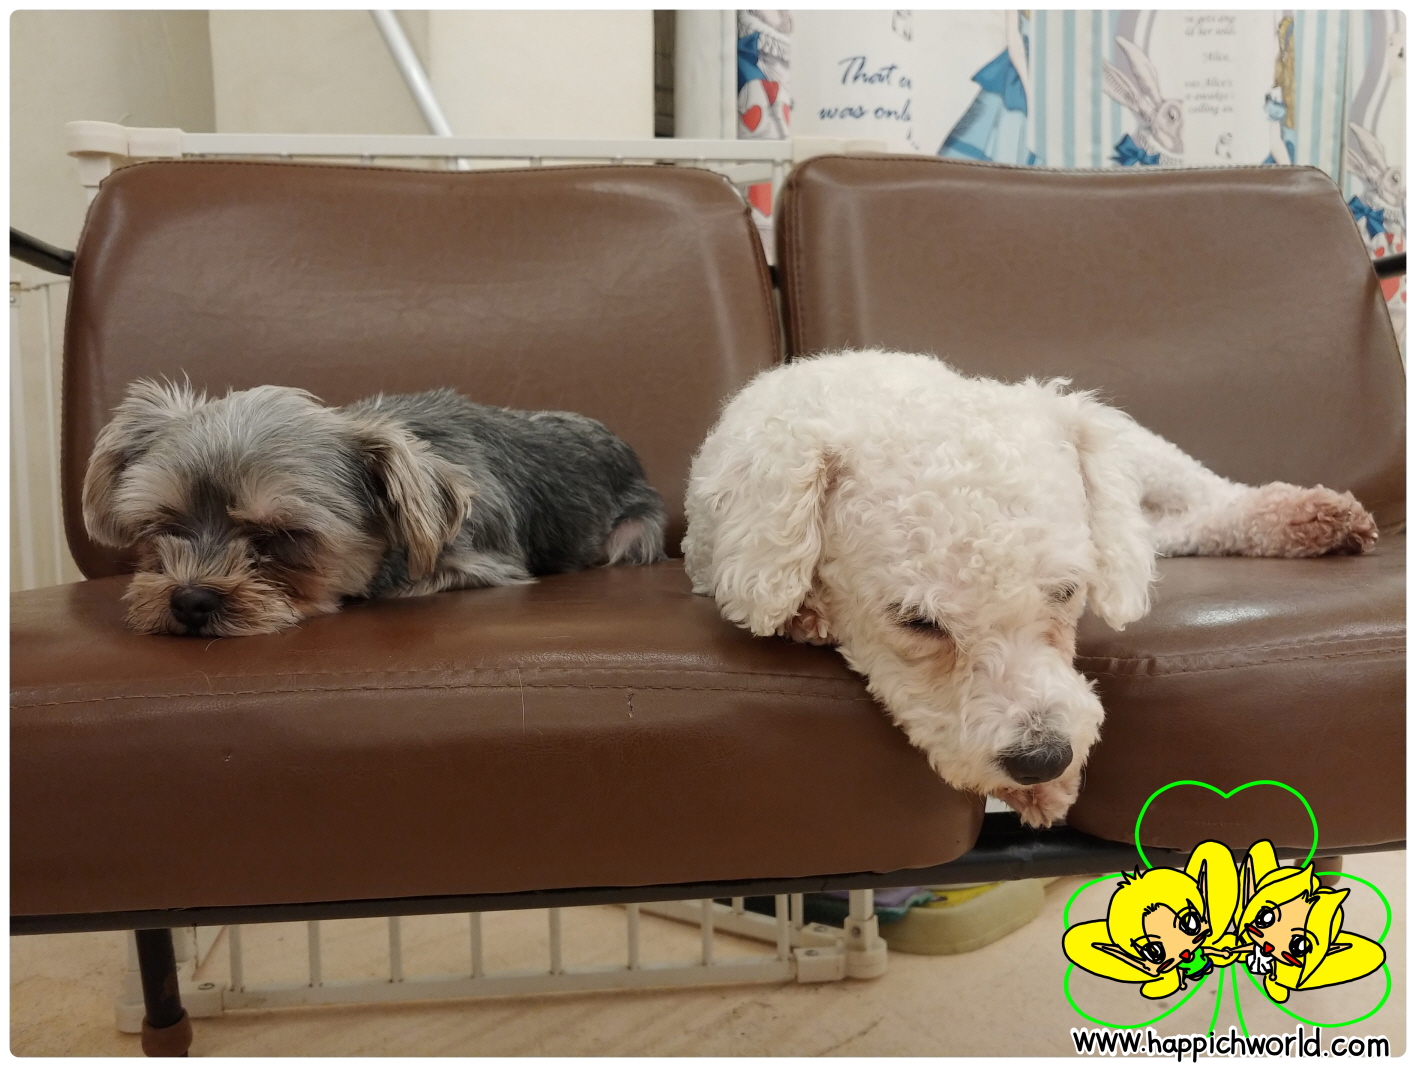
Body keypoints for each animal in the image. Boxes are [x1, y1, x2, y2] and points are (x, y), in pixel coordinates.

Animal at [683, 350, 1377, 827]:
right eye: (916, 621)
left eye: (1067, 592)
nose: (1043, 759)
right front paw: (804, 616)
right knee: (1173, 527)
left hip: (1140, 454)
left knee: (1210, 496)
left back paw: (1314, 516)